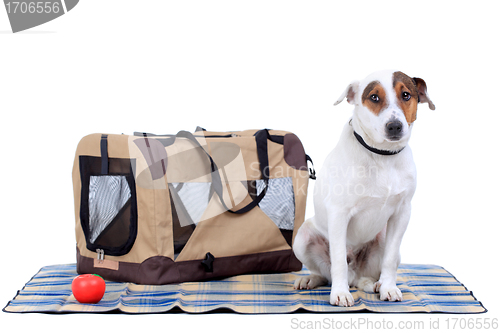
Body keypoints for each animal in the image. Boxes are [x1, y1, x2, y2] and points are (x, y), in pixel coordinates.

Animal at [292, 69, 436, 306]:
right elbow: (338, 261)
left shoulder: (402, 213)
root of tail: (355, 276)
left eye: (406, 95)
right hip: (302, 238)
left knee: (372, 272)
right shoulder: (338, 214)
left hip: (383, 238)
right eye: (374, 97)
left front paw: (388, 288)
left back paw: (377, 284)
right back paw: (311, 280)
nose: (394, 126)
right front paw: (340, 294)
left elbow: (389, 260)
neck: (382, 156)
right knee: (326, 273)